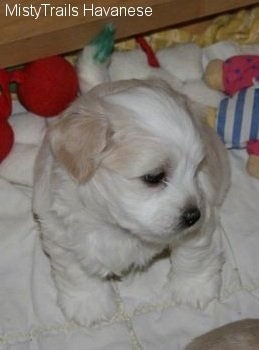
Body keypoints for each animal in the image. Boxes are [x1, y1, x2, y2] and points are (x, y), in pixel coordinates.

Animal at [32, 78, 230, 326]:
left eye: (197, 169)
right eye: (154, 177)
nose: (194, 215)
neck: (119, 227)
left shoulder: (202, 220)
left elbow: (193, 254)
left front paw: (193, 287)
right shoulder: (61, 234)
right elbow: (76, 272)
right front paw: (88, 304)